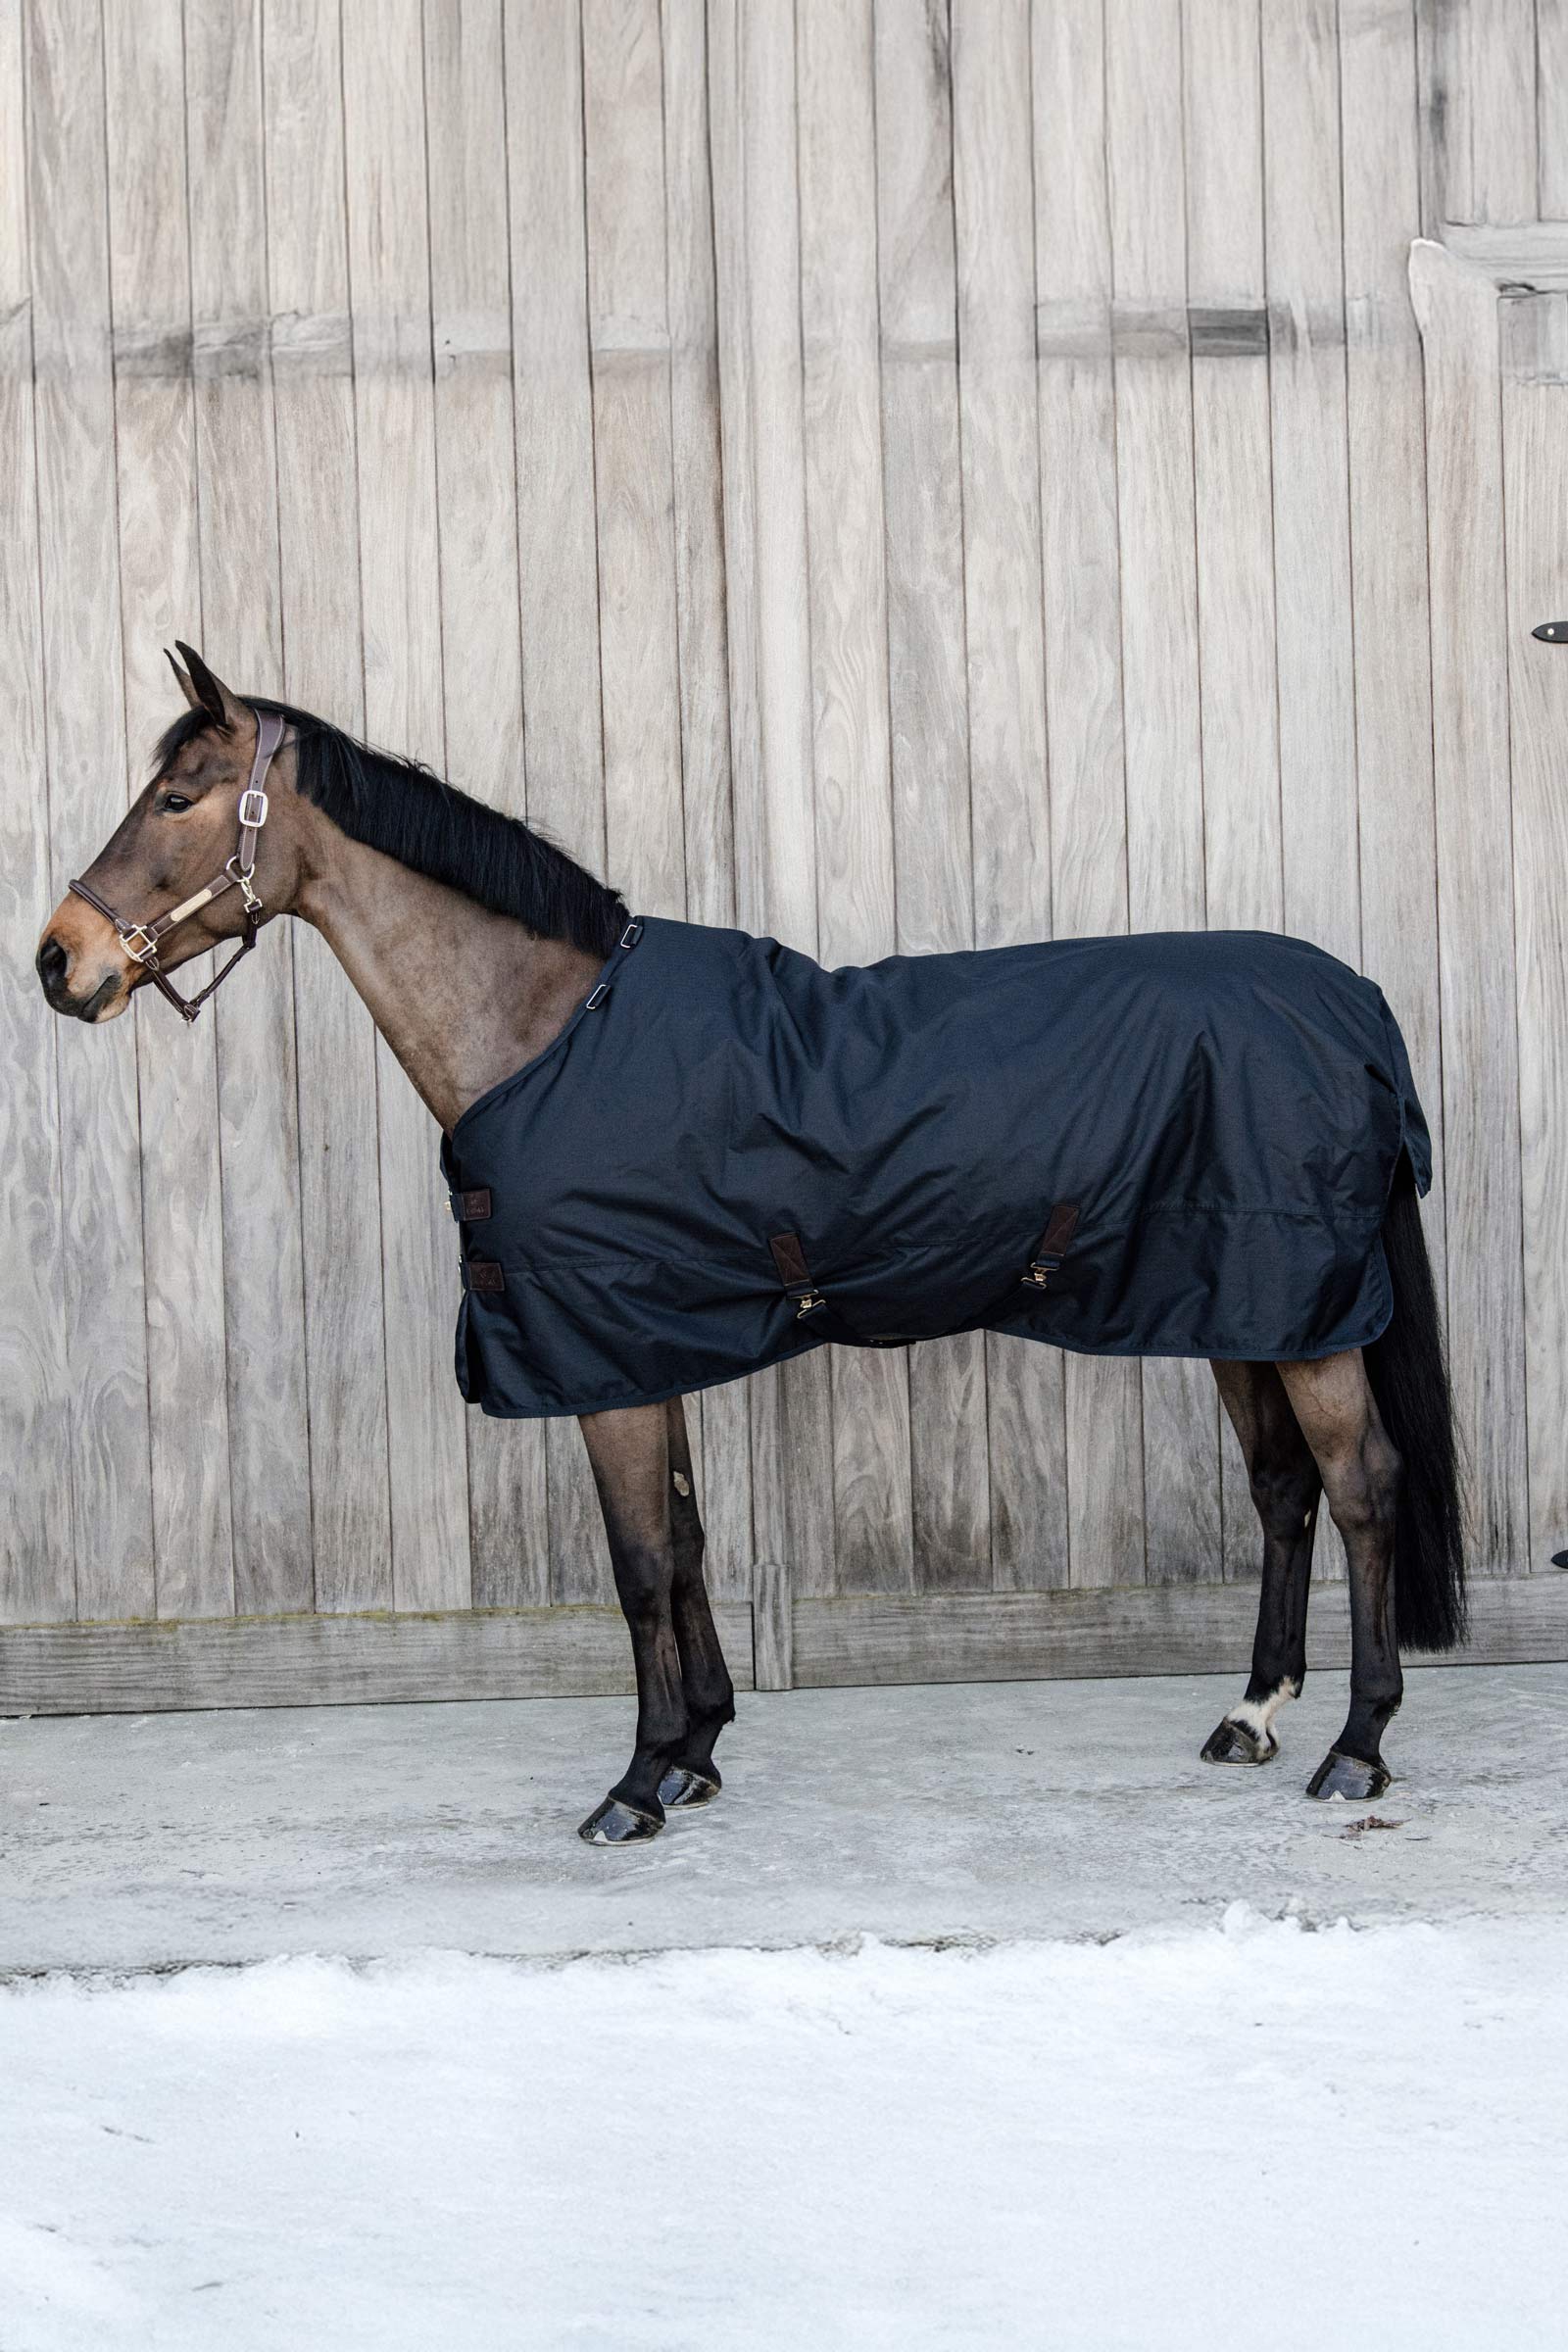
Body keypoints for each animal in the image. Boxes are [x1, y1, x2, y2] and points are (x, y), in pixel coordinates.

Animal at [35, 645, 1465, 1844]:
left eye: (178, 796)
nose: (60, 962)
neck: (551, 1034)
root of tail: (1351, 1002)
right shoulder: (640, 1346)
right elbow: (686, 1542)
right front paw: (697, 1754)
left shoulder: (601, 1360)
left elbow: (637, 1564)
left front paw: (634, 1784)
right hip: (1242, 1308)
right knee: (1282, 1492)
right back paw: (1251, 1717)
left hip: (1303, 1316)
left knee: (1363, 1489)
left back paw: (1355, 1748)